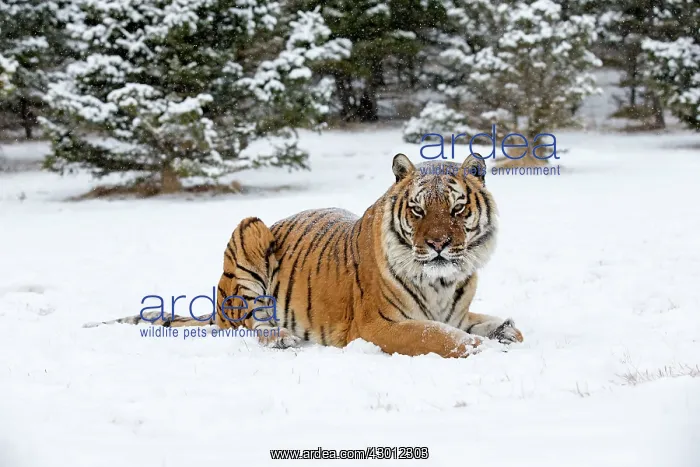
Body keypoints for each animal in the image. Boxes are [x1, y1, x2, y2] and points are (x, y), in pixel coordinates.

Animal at [95, 153, 523, 358]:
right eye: (418, 210)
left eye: (457, 209)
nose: (438, 244)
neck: (442, 279)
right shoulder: (379, 324)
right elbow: (441, 337)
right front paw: (482, 349)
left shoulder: (455, 311)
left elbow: (488, 323)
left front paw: (506, 330)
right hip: (250, 231)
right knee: (246, 325)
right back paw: (281, 337)